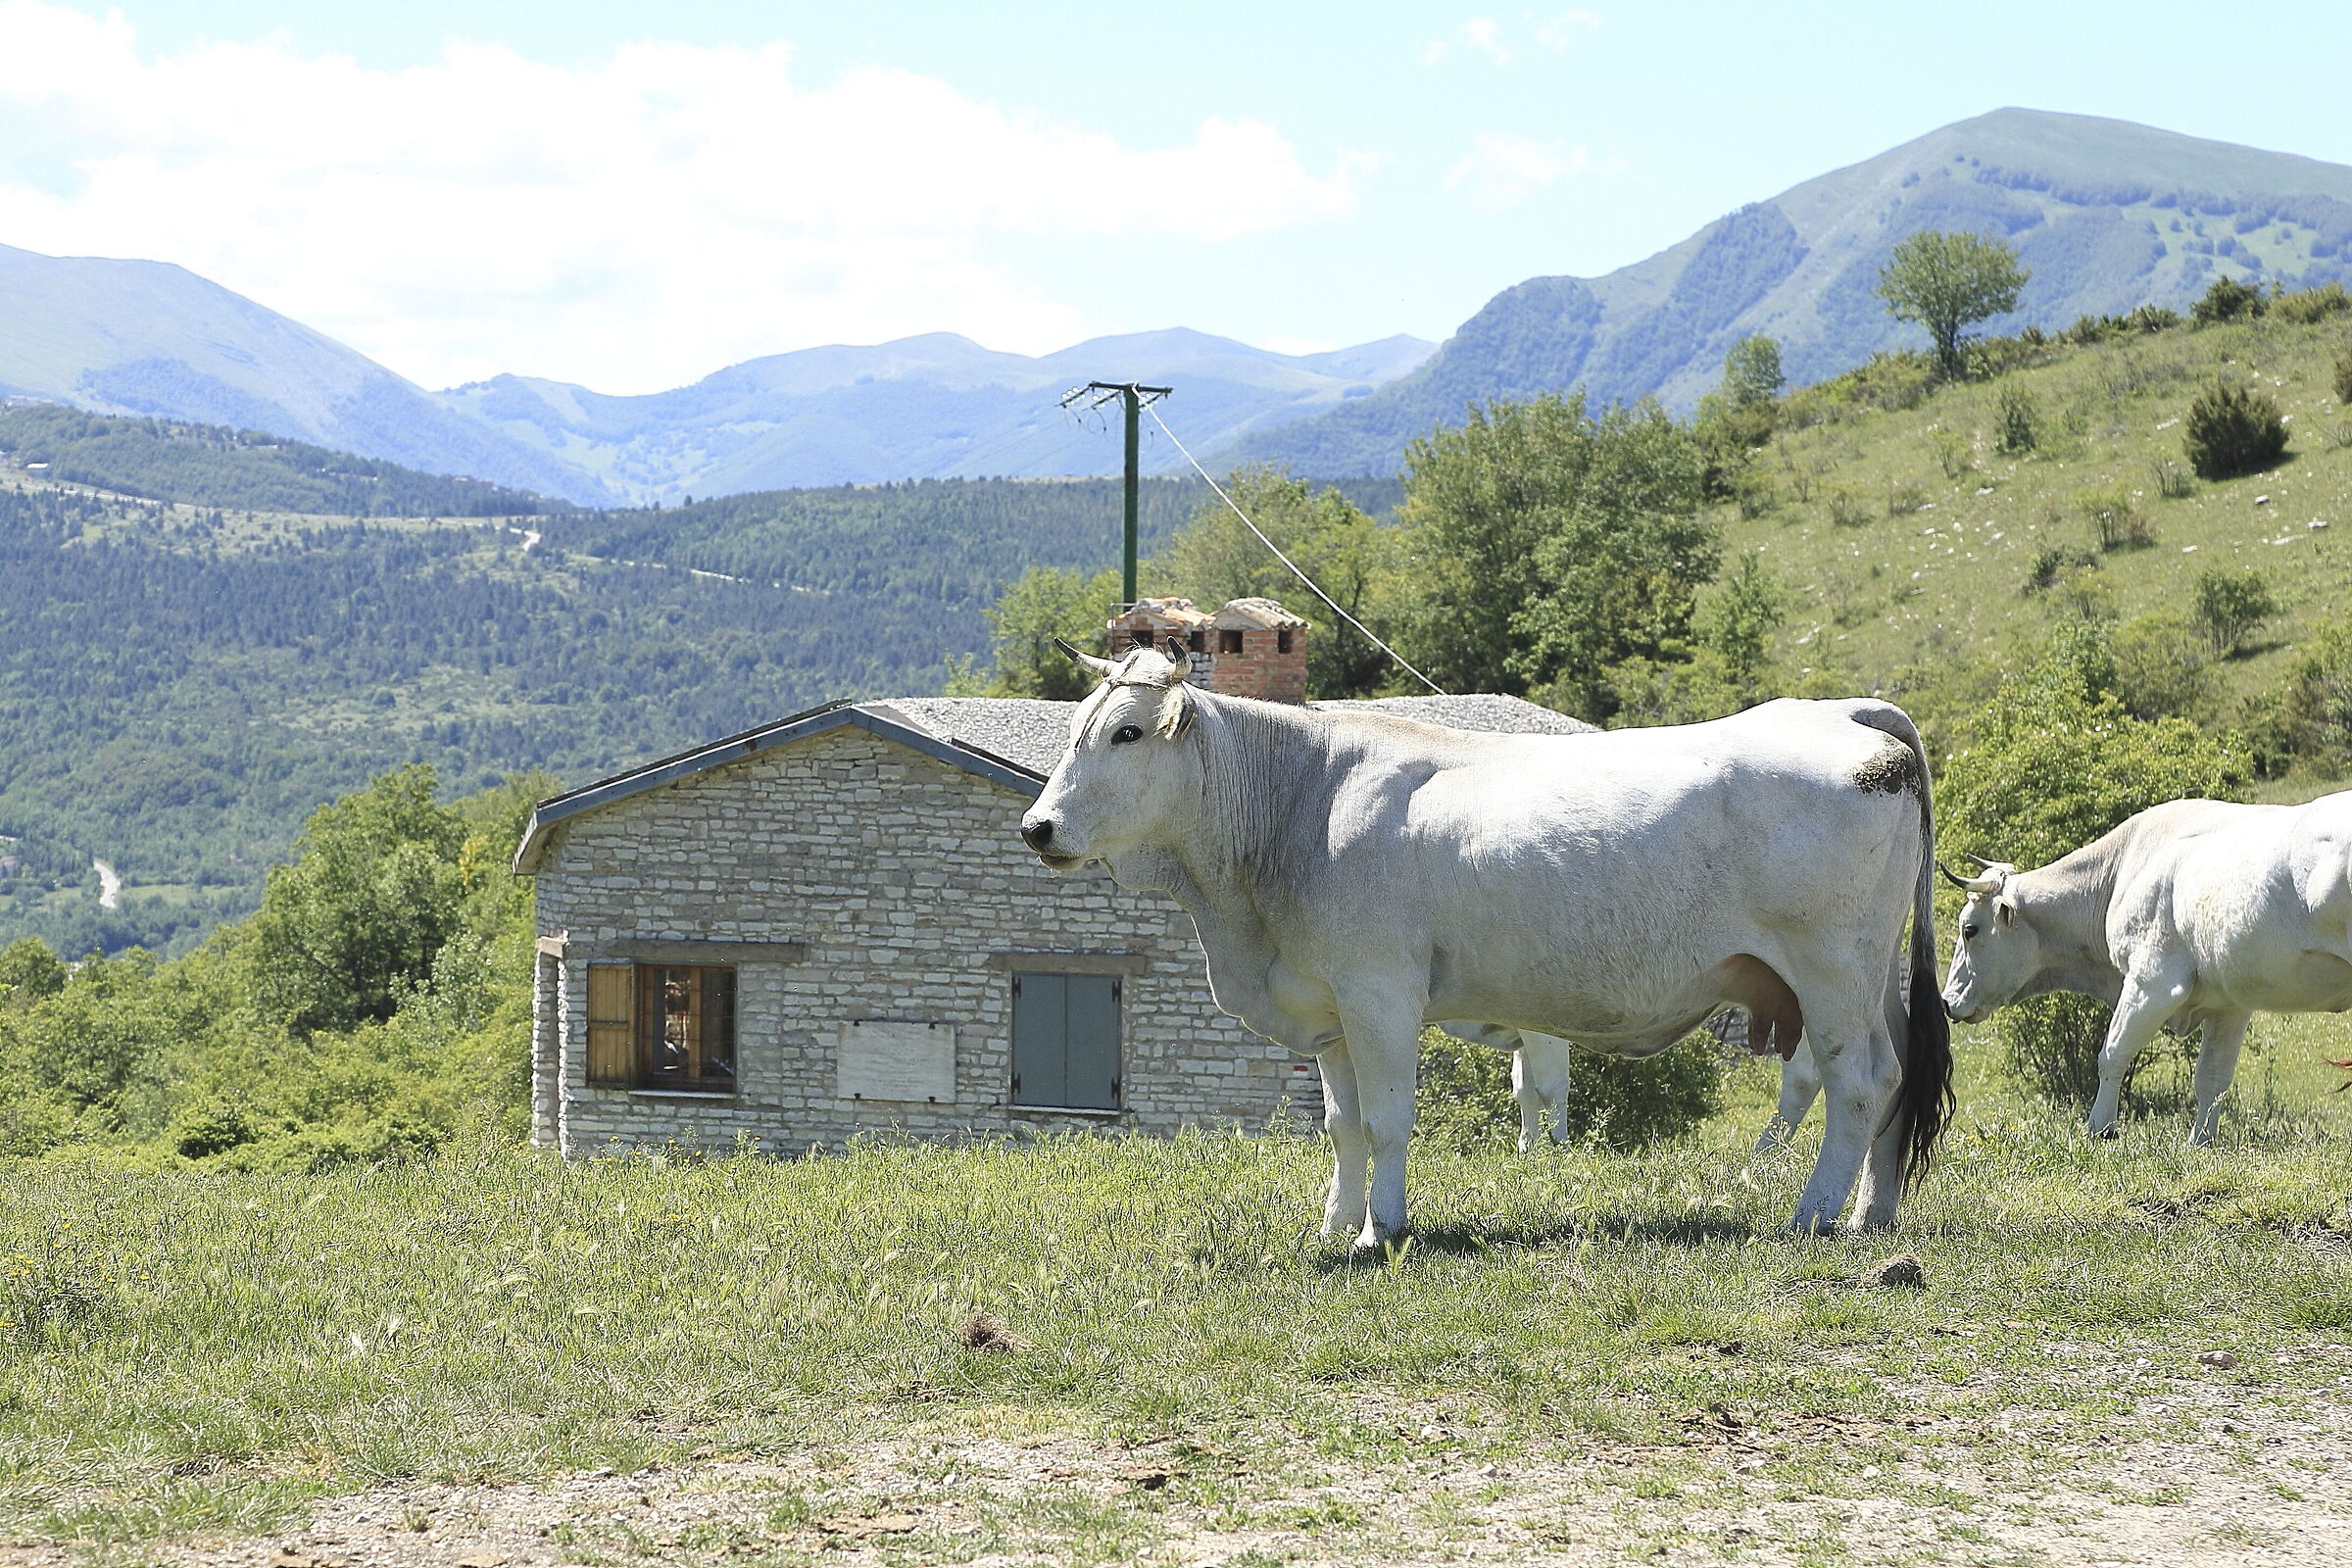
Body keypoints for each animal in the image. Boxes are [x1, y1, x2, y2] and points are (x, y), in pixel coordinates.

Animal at [1018, 645, 1953, 1245]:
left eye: (1128, 733)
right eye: (1076, 729)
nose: (1037, 826)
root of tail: (1841, 712)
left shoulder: (1381, 995)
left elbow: (1387, 1120)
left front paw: (1380, 1233)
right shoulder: (1329, 1007)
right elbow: (1342, 1125)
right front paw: (1331, 1226)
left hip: (1832, 970)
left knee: (1857, 1082)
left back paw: (1812, 1216)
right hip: (1871, 977)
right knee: (1898, 1074)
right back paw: (1871, 1213)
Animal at [1940, 791, 2352, 1145]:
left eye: (1969, 929)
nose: (1946, 1001)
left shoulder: (2152, 982)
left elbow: (2111, 1054)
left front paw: (2100, 1128)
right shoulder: (2230, 1003)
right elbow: (2212, 1077)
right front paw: (2200, 1142)